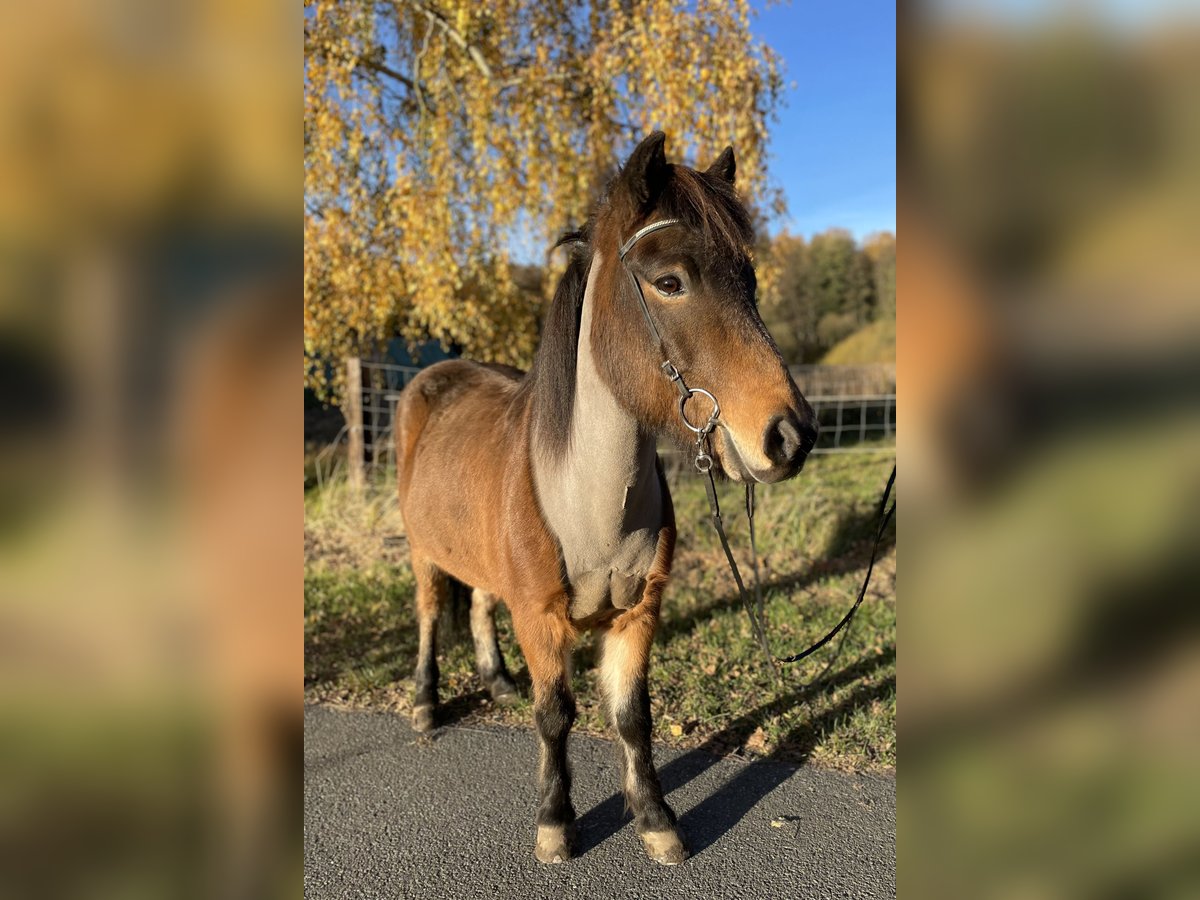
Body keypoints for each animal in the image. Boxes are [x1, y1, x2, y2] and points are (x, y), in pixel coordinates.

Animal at [394, 132, 818, 865]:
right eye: (670, 281)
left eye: (751, 281)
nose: (789, 436)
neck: (591, 503)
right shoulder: (541, 619)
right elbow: (556, 716)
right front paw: (556, 821)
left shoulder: (638, 617)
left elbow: (630, 716)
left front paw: (655, 818)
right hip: (423, 552)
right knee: (427, 615)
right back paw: (425, 701)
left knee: (478, 602)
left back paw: (497, 680)